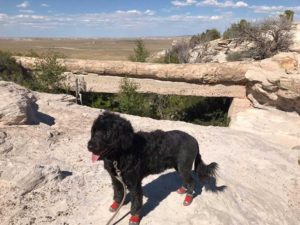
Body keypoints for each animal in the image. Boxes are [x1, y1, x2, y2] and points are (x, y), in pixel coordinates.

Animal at [87, 111, 218, 224]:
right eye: (94, 130)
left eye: (107, 132)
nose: (89, 146)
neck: (120, 154)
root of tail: (194, 140)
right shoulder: (115, 178)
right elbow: (118, 192)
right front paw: (116, 204)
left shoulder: (134, 184)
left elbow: (136, 202)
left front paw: (134, 218)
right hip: (179, 166)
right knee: (187, 180)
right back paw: (182, 189)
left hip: (184, 166)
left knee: (191, 181)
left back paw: (188, 198)